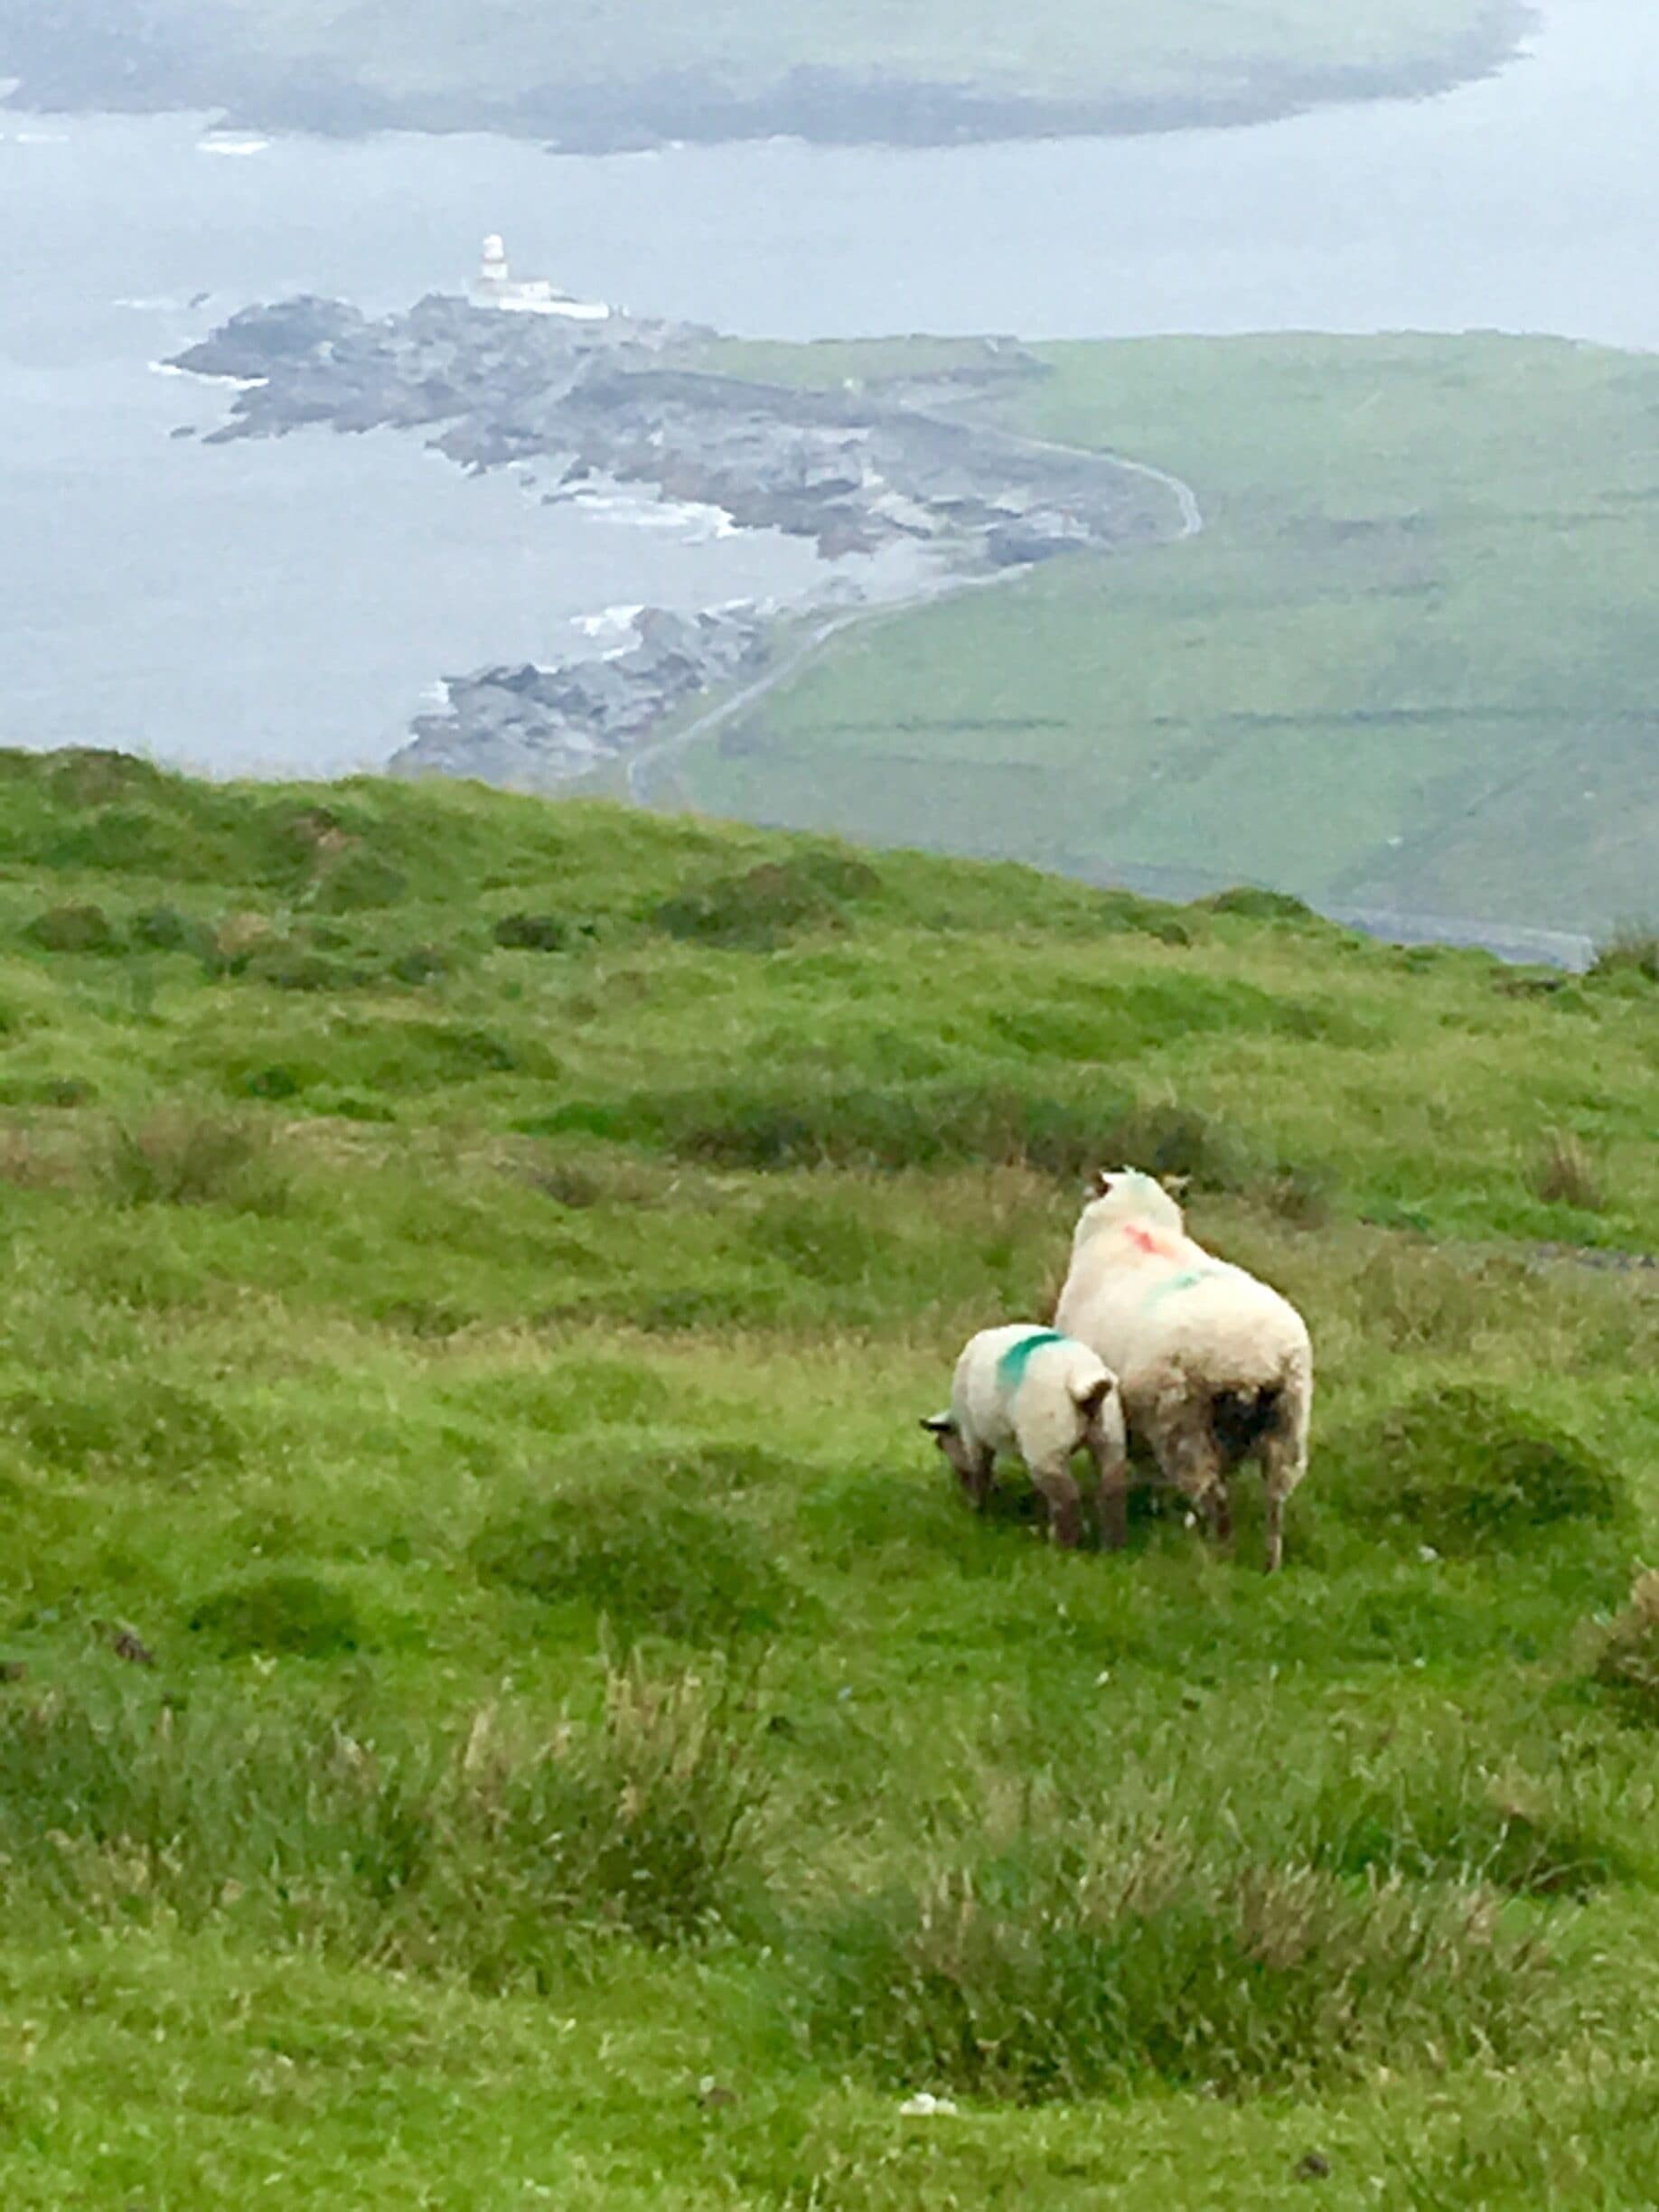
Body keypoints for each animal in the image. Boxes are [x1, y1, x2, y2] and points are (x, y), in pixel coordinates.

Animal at [922, 1324, 1128, 1550]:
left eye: (940, 1444)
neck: (957, 1421)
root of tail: (1081, 1384)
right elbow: (1038, 1490)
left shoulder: (974, 1436)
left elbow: (980, 1471)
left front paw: (978, 1510)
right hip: (1110, 1435)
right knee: (1113, 1488)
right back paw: (1113, 1546)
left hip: (1046, 1443)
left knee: (1067, 1496)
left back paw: (1063, 1547)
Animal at [1053, 1168, 1312, 1571]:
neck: (1135, 1228)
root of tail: (1253, 1356)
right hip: (1288, 1425)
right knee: (1275, 1500)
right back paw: (1270, 1565)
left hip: (1182, 1422)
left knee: (1213, 1496)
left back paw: (1220, 1555)